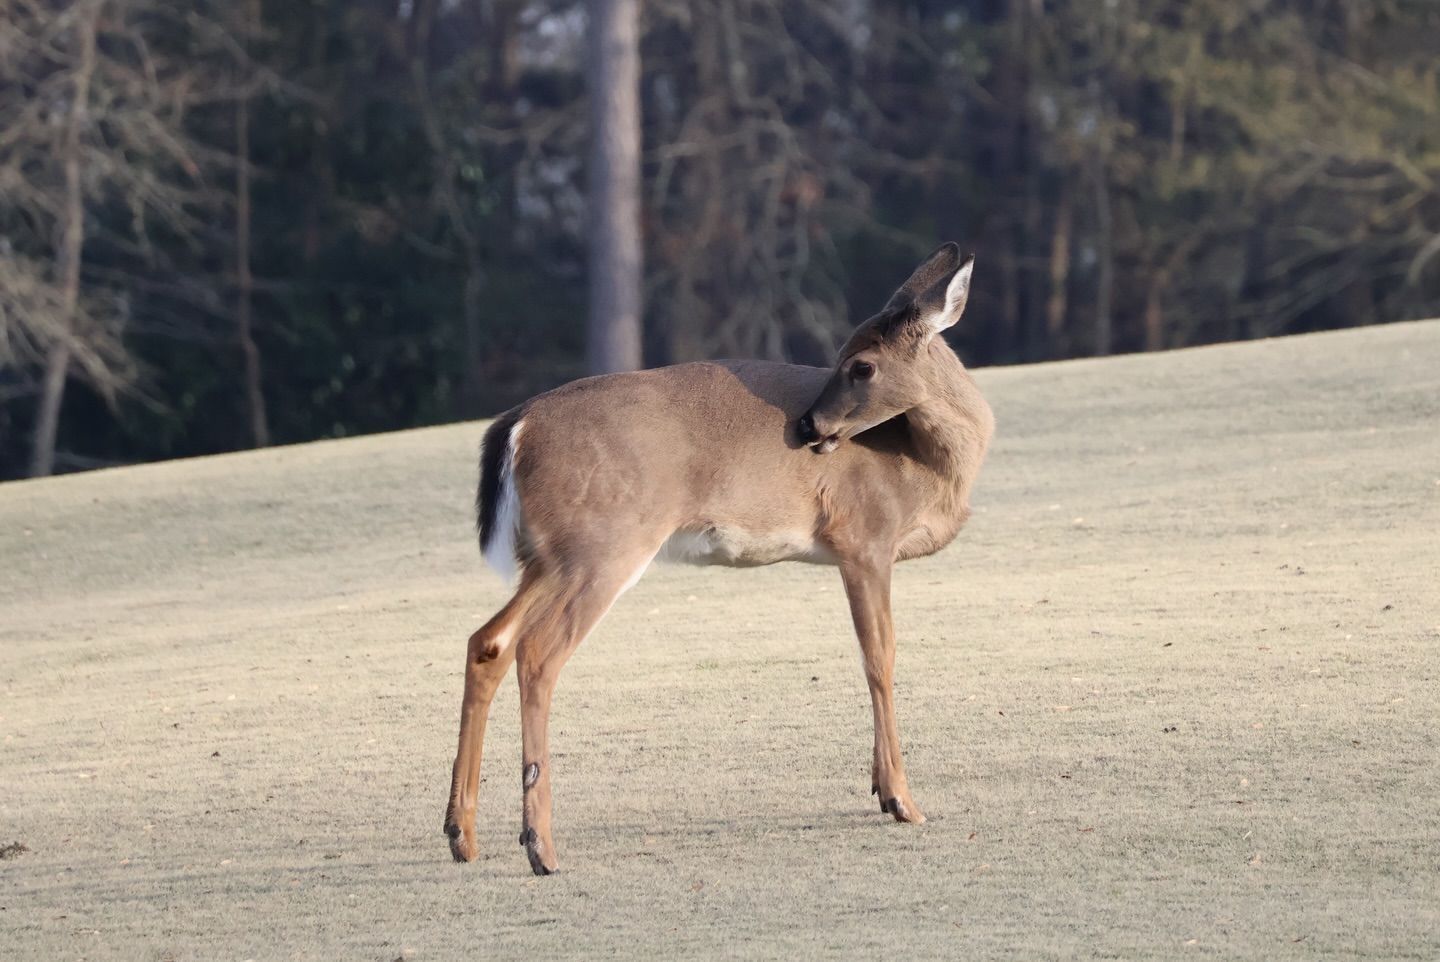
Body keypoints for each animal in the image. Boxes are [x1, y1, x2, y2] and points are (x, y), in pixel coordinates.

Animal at [443, 243, 994, 875]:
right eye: (845, 359)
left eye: (861, 365)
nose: (807, 425)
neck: (922, 463)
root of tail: (517, 425)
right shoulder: (864, 538)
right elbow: (880, 659)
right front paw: (902, 800)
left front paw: (881, 791)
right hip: (603, 545)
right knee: (537, 652)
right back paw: (541, 847)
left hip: (548, 557)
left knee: (489, 641)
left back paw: (462, 835)